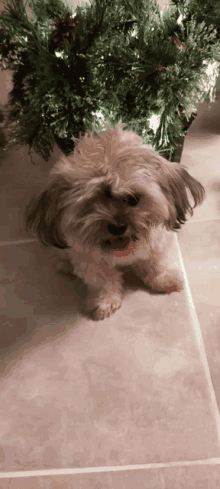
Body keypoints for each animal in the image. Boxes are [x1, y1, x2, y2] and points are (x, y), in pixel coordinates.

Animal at [25, 121, 205, 320]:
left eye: (133, 199)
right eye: (91, 203)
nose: (117, 227)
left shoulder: (158, 243)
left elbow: (157, 264)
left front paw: (164, 279)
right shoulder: (90, 260)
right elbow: (103, 282)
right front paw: (105, 301)